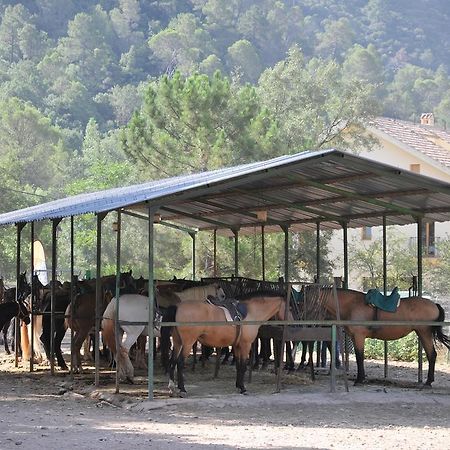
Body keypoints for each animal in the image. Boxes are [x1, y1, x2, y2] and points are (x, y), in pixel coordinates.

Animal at [320, 288, 450, 386]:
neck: (351, 304)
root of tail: (434, 304)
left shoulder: (359, 336)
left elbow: (359, 357)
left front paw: (359, 380)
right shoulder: (354, 337)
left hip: (424, 332)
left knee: (431, 355)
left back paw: (428, 382)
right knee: (431, 355)